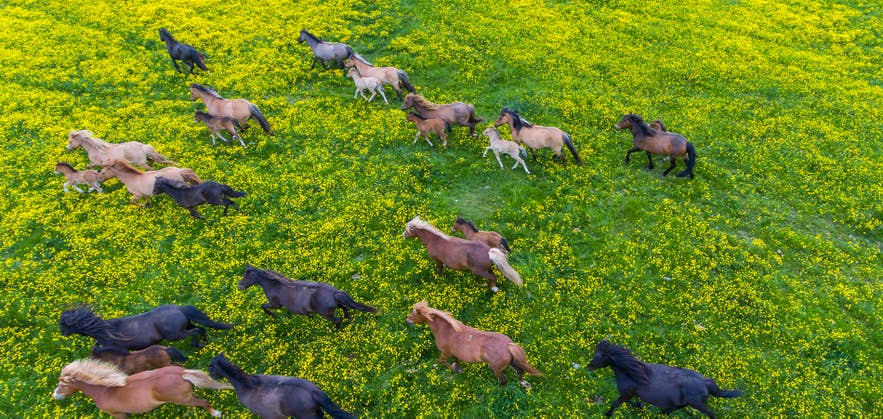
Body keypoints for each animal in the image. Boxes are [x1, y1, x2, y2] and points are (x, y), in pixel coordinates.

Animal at [53, 358, 231, 418]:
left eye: (62, 385)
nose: (55, 396)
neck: (103, 391)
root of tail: (182, 373)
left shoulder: (117, 414)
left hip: (185, 400)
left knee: (204, 402)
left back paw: (216, 414)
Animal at [59, 304, 233, 350]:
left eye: (63, 323)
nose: (61, 333)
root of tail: (179, 308)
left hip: (175, 335)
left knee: (196, 331)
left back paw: (197, 345)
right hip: (186, 325)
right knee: (201, 328)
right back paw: (205, 343)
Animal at [239, 265, 377, 328]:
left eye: (246, 276)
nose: (239, 286)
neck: (274, 285)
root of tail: (334, 293)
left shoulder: (276, 305)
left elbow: (263, 306)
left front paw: (272, 315)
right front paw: (309, 317)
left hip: (327, 314)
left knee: (338, 320)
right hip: (339, 305)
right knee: (346, 310)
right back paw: (349, 320)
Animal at [406, 301, 542, 388]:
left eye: (414, 314)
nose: (407, 320)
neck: (447, 331)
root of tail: (508, 345)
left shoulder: (445, 353)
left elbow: (442, 361)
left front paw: (455, 369)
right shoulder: (454, 353)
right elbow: (456, 360)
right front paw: (457, 367)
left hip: (496, 368)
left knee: (504, 380)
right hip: (512, 362)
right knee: (520, 371)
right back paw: (525, 384)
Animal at [588, 340, 742, 418]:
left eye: (597, 356)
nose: (588, 367)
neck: (634, 373)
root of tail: (706, 382)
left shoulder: (627, 392)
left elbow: (616, 403)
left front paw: (607, 414)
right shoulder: (630, 393)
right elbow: (631, 402)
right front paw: (640, 407)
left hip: (697, 404)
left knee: (712, 414)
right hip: (686, 403)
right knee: (674, 408)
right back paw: (661, 414)